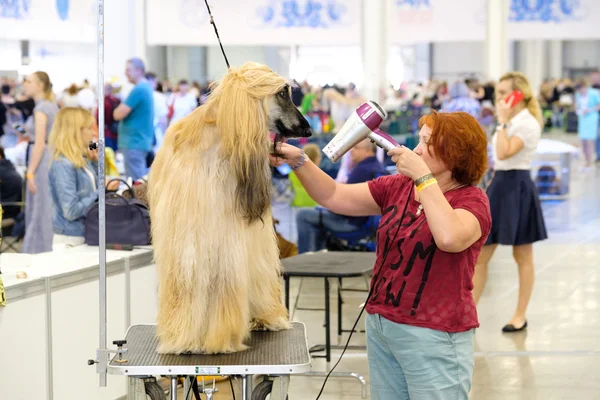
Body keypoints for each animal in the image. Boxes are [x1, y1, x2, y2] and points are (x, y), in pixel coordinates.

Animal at [148, 62, 312, 354]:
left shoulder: (225, 237)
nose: (308, 130)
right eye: (283, 93)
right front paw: (183, 337)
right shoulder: (185, 239)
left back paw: (264, 318)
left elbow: (225, 283)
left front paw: (220, 337)